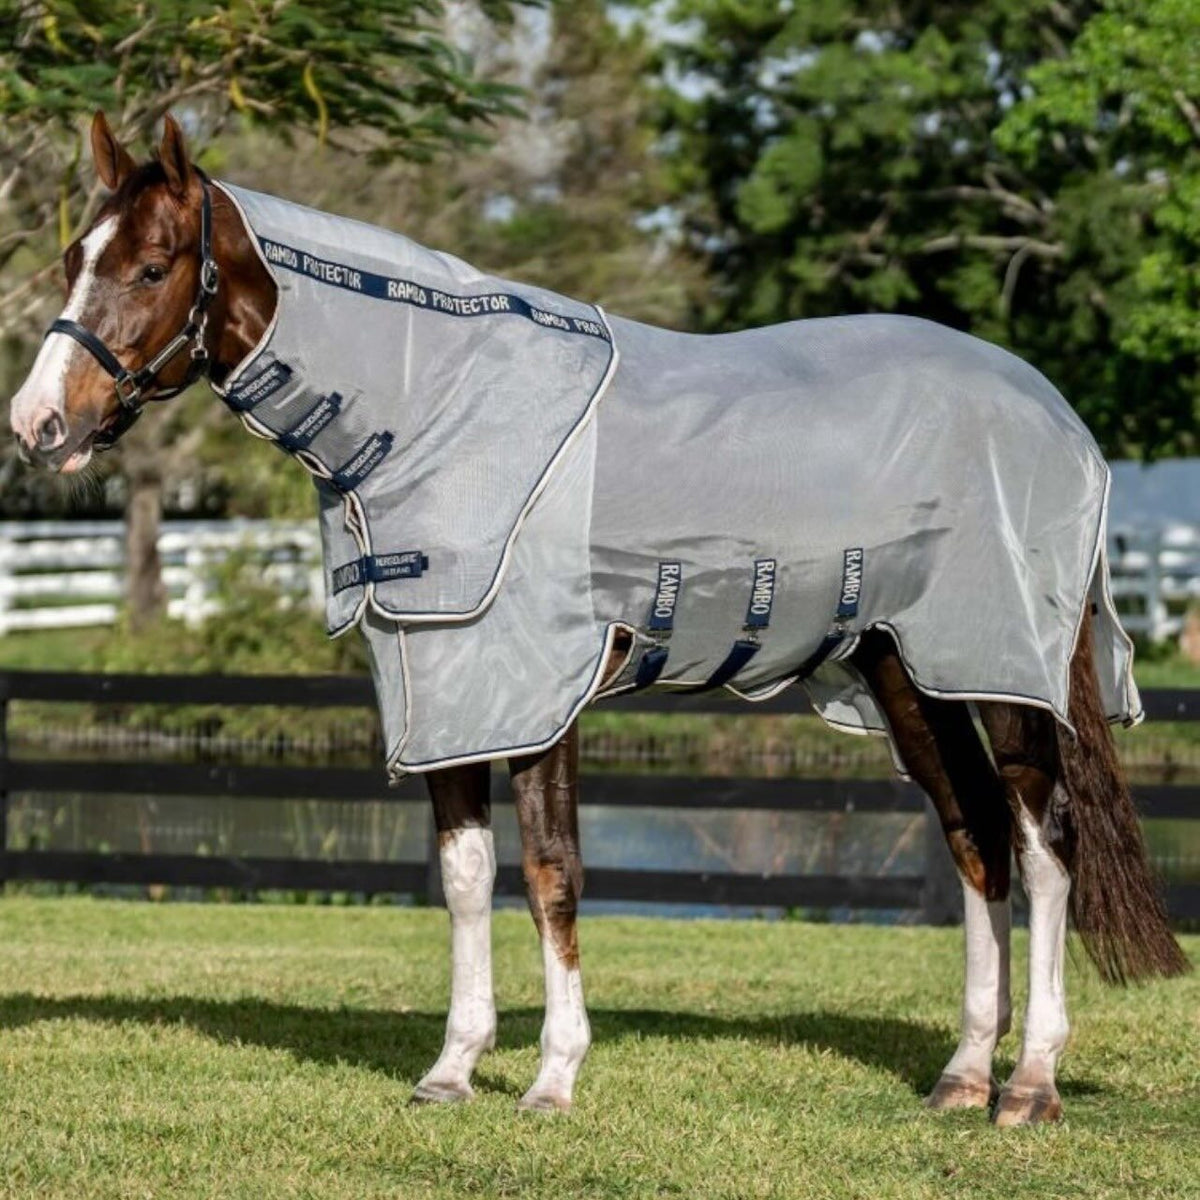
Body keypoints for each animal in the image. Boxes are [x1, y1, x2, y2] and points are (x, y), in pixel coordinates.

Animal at [9, 112, 1188, 1122]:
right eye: (73, 259)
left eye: (151, 266)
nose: (39, 424)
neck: (436, 408)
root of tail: (1056, 414)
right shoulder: (448, 687)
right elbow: (466, 876)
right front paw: (452, 1070)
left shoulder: (543, 692)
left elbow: (552, 872)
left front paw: (552, 1078)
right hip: (911, 672)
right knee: (975, 835)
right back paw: (960, 1076)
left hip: (1006, 670)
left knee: (1045, 843)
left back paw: (1029, 1086)